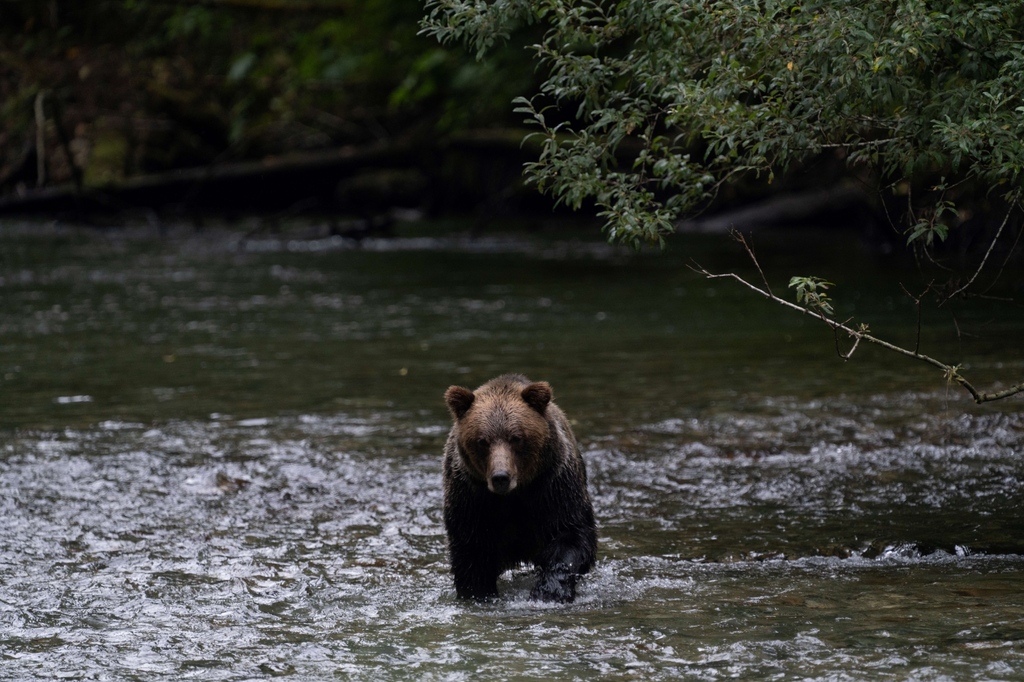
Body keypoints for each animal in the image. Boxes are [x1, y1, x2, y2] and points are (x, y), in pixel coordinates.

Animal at [442, 372, 598, 602]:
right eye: (482, 441)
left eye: (516, 437)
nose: (501, 477)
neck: (513, 496)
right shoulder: (471, 498)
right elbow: (472, 553)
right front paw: (479, 593)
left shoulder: (553, 487)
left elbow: (570, 536)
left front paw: (549, 591)